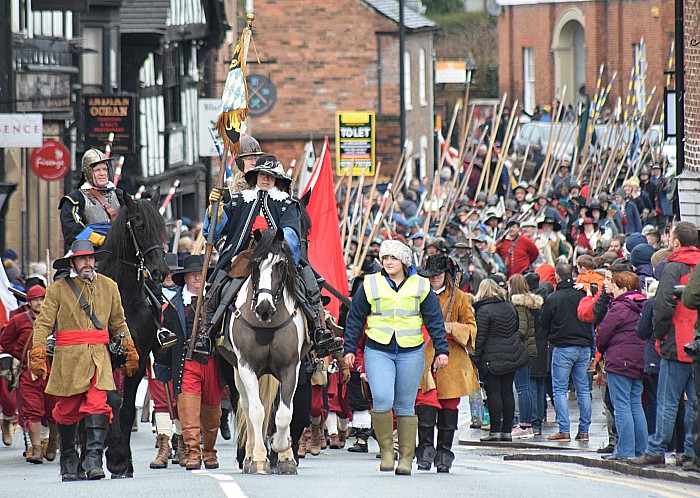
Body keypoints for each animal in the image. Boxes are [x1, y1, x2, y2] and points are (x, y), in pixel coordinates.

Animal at [97, 189, 170, 476]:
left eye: (162, 227)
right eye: (139, 226)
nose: (161, 271)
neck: (124, 297)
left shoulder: (137, 360)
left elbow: (127, 409)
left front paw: (124, 461)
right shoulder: (104, 358)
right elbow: (113, 400)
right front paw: (115, 457)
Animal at [216, 228, 308, 476]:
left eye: (281, 265)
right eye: (255, 265)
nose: (264, 308)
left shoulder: (290, 368)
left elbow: (284, 413)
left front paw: (282, 450)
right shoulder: (246, 366)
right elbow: (257, 411)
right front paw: (259, 459)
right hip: (238, 372)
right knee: (247, 407)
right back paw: (249, 456)